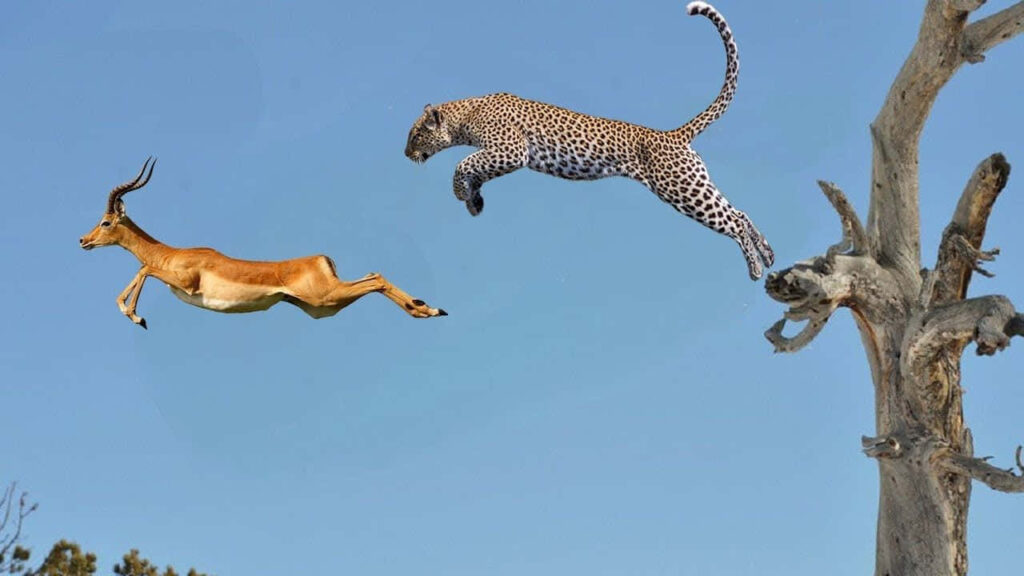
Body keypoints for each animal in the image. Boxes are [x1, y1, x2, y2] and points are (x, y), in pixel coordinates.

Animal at [80, 158, 447, 328]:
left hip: (325, 296)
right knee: (373, 277)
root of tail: (321, 259)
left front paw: (137, 317)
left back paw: (429, 309)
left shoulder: (184, 281)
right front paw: (136, 316)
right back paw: (427, 309)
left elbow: (143, 269)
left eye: (106, 222)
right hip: (322, 307)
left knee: (377, 278)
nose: (83, 240)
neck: (171, 254)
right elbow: (140, 271)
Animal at [404, 1, 773, 280]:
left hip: (681, 188)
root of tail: (672, 134)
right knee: (739, 213)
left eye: (415, 134)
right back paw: (767, 255)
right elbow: (475, 169)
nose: (406, 153)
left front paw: (463, 194)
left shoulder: (511, 150)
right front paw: (474, 200)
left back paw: (756, 267)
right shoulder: (500, 155)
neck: (464, 115)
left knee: (732, 220)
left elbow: (462, 164)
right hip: (695, 181)